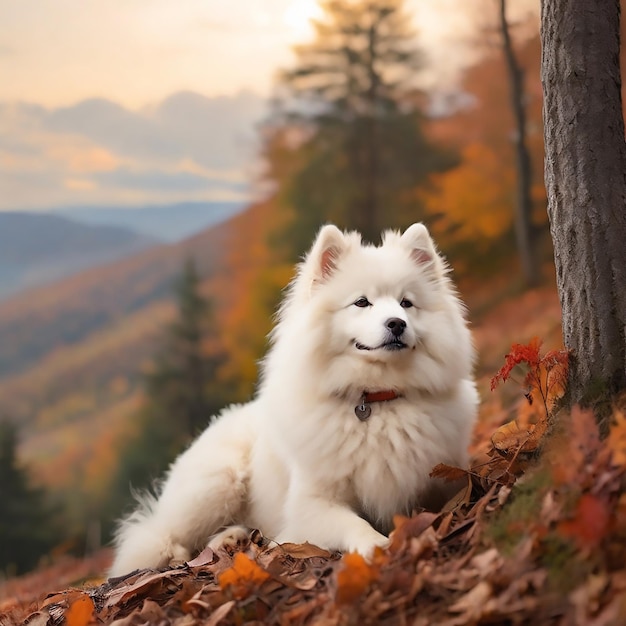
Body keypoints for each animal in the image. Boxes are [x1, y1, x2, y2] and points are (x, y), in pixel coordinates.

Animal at [109, 222, 476, 572]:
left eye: (406, 303)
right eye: (361, 302)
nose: (397, 323)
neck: (376, 400)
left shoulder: (441, 477)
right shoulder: (311, 505)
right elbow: (352, 523)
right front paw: (378, 546)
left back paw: (232, 538)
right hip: (218, 481)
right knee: (161, 535)